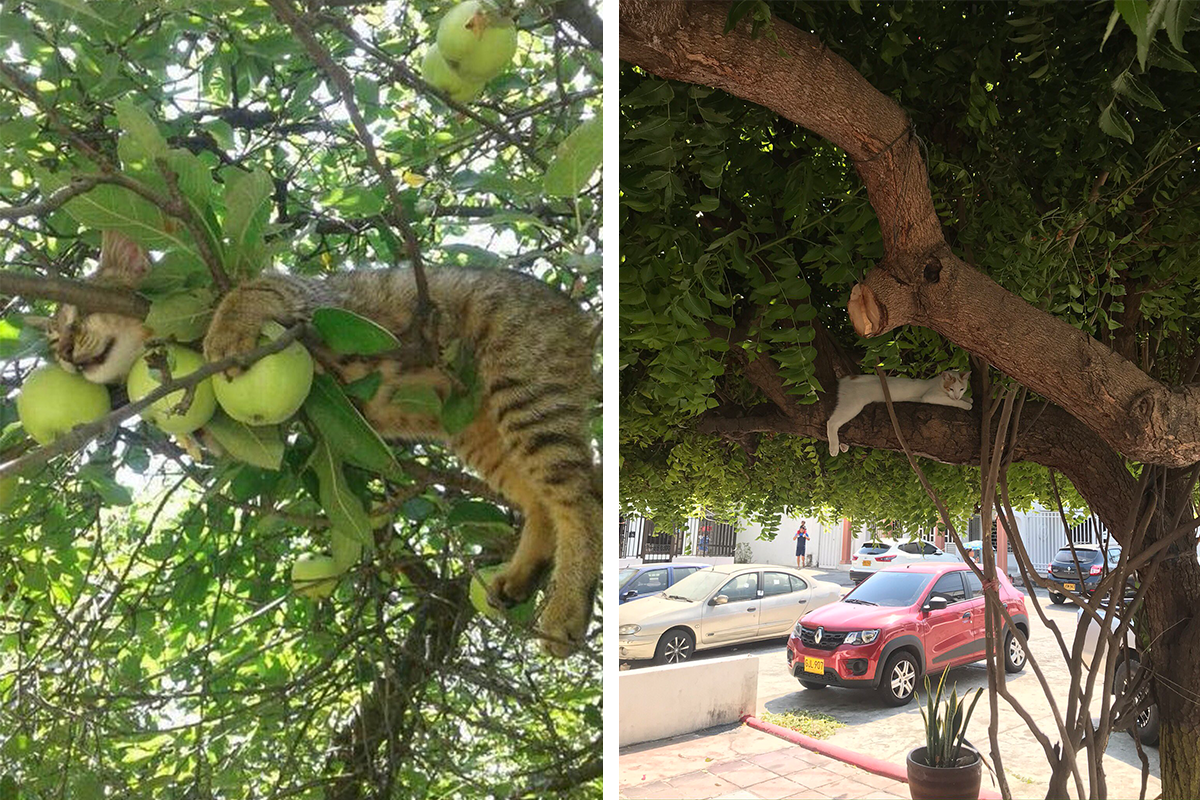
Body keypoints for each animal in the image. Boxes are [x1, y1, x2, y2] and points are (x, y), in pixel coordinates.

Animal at [46, 230, 600, 657]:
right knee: (541, 502)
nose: (66, 355)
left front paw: (225, 329)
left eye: (77, 317)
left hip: (524, 392)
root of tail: (579, 315)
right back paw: (522, 574)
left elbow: (250, 288)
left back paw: (567, 608)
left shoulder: (312, 300)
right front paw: (190, 433)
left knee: (582, 497)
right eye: (52, 343)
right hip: (481, 434)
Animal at [825, 371, 974, 455]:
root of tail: (848, 378)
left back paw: (843, 445)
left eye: (962, 389)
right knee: (831, 422)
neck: (936, 383)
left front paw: (967, 398)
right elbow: (952, 401)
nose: (957, 396)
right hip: (853, 405)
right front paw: (966, 404)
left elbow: (963, 398)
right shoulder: (931, 396)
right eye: (951, 388)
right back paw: (834, 448)